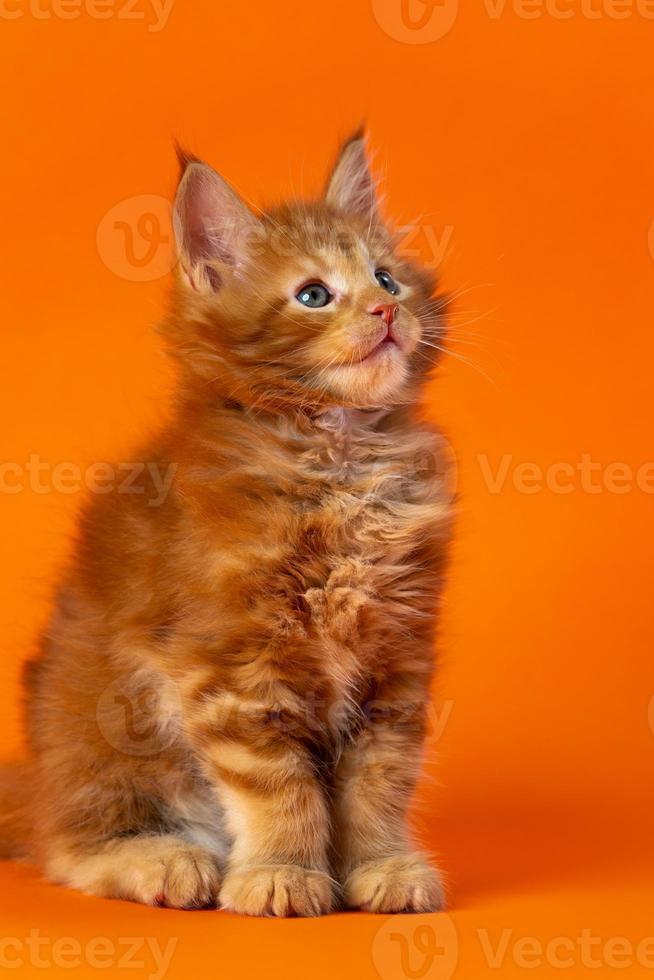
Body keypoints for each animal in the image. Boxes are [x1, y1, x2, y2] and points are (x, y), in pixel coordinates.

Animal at [0, 134, 452, 916]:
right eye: (313, 295)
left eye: (387, 280)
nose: (385, 313)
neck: (339, 462)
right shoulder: (232, 665)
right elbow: (277, 787)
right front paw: (283, 872)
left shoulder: (394, 663)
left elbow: (379, 783)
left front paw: (382, 865)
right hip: (103, 728)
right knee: (71, 844)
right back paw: (163, 857)